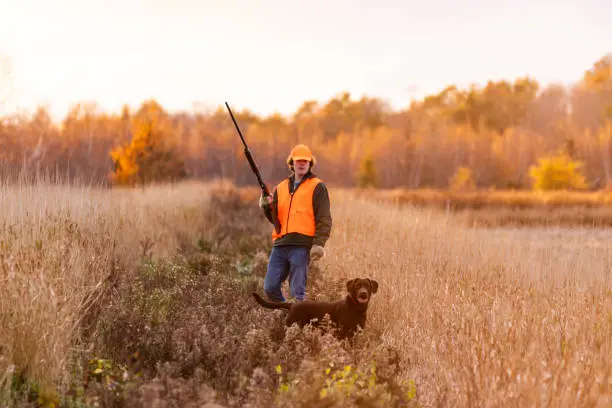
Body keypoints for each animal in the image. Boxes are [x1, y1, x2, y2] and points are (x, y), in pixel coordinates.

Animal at [250, 276, 378, 340]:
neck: (356, 308)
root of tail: (293, 304)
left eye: (367, 286)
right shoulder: (343, 334)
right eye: (357, 286)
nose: (363, 294)